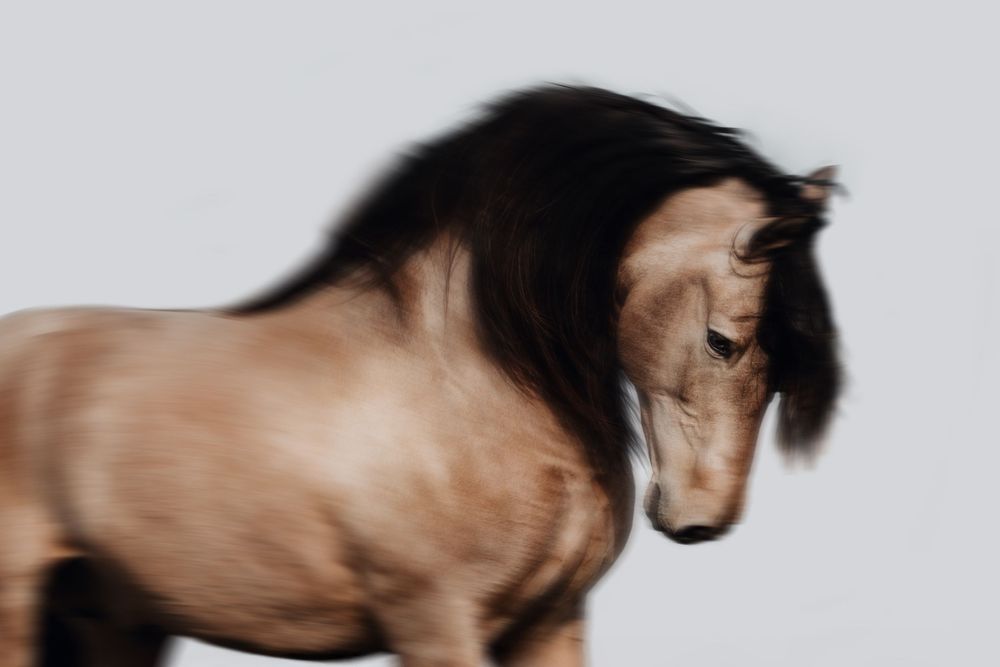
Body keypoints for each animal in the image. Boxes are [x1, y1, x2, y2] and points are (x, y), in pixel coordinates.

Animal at [0, 85, 840, 666]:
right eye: (723, 341)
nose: (703, 519)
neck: (466, 387)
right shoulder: (434, 622)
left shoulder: (550, 624)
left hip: (118, 616)